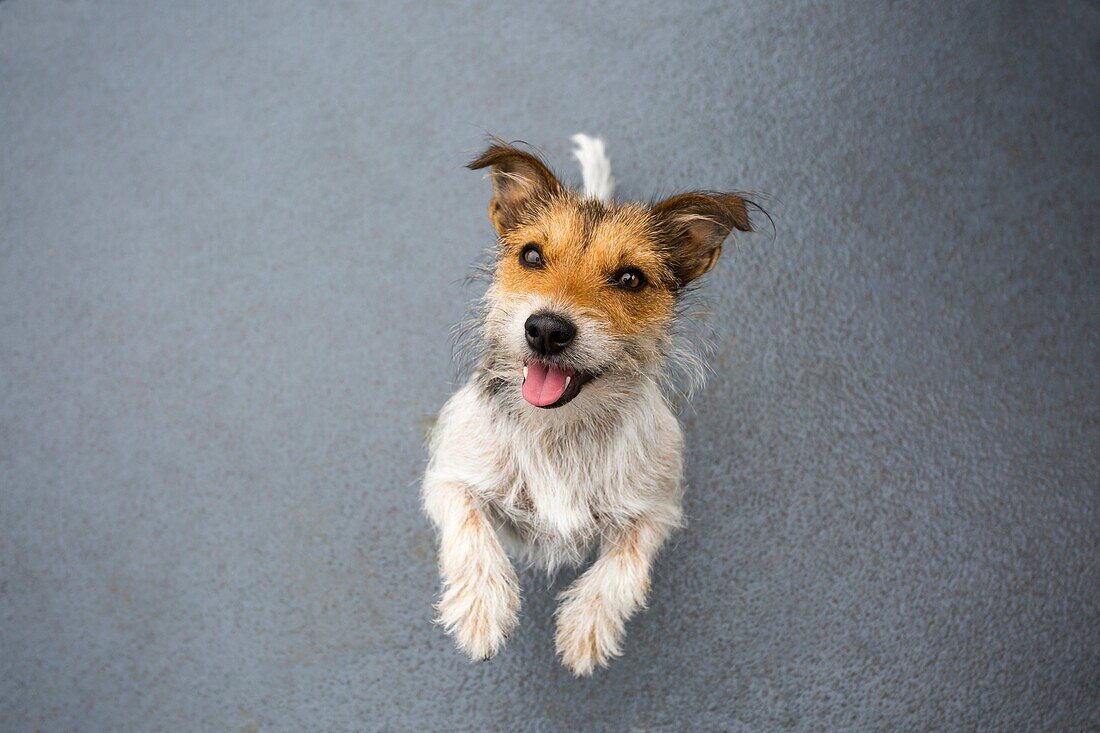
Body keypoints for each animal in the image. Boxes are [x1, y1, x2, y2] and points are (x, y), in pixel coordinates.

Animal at [420, 132, 756, 673]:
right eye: (532, 256)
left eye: (630, 278)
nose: (546, 329)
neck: (560, 426)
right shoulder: (450, 475)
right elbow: (469, 528)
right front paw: (481, 612)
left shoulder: (656, 509)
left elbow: (624, 564)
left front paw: (585, 630)